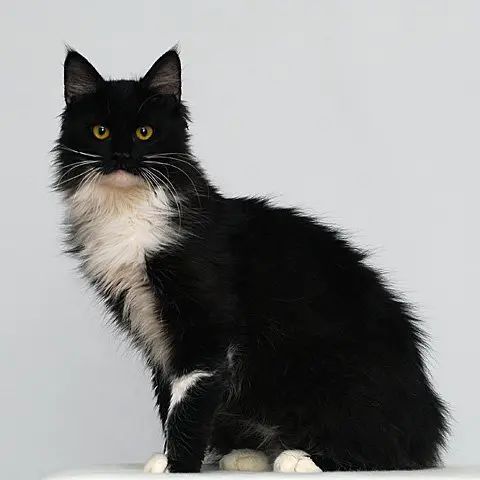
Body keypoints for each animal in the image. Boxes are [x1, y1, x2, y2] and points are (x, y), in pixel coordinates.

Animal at [53, 47, 450, 474]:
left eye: (145, 132)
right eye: (100, 131)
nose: (123, 156)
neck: (128, 212)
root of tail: (429, 427)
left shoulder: (205, 324)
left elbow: (188, 400)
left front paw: (179, 464)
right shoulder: (154, 334)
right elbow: (167, 397)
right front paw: (167, 457)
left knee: (384, 452)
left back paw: (300, 457)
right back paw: (247, 455)